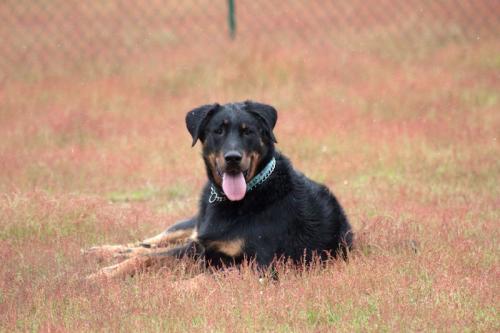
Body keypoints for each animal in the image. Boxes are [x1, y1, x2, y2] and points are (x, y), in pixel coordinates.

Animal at [85, 100, 352, 278]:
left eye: (248, 131)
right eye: (218, 131)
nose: (233, 158)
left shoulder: (259, 264)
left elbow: (204, 276)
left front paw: (177, 288)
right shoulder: (201, 247)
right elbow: (147, 258)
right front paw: (104, 274)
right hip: (191, 227)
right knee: (150, 242)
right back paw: (102, 252)